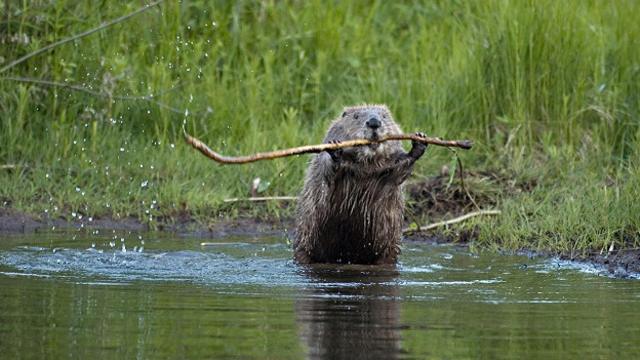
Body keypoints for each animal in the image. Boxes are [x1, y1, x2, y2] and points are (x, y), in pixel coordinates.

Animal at [292, 104, 428, 264]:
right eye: (356, 116)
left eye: (384, 116)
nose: (374, 122)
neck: (367, 165)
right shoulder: (323, 163)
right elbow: (327, 169)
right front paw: (335, 150)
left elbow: (400, 170)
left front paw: (419, 142)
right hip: (304, 240)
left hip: (390, 251)